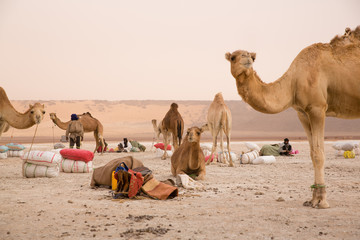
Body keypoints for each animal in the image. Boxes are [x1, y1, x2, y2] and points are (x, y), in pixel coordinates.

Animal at [225, 25, 360, 207]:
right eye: (233, 57)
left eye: (251, 56)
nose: (247, 58)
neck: (293, 82)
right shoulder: (302, 113)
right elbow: (312, 153)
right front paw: (313, 199)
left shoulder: (317, 108)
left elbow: (319, 154)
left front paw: (322, 201)